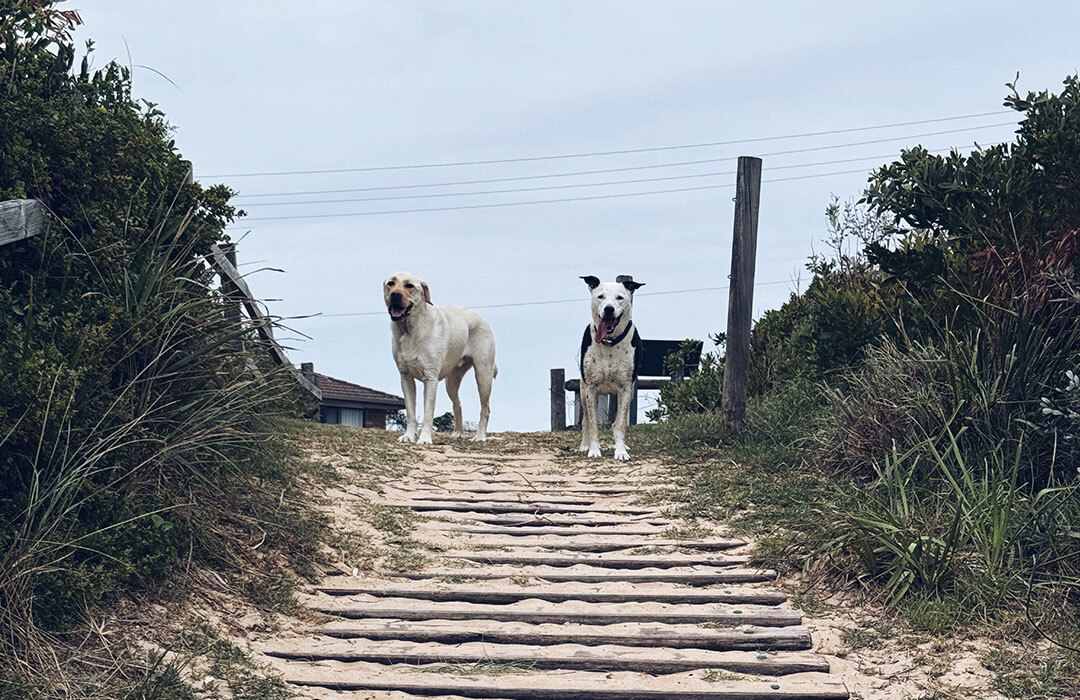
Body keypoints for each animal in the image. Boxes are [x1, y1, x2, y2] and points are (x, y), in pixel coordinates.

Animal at [578, 276, 643, 462]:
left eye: (620, 297)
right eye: (600, 296)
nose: (609, 309)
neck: (609, 342)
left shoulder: (626, 388)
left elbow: (620, 424)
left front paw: (621, 451)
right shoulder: (591, 388)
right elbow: (593, 424)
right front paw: (593, 450)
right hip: (582, 389)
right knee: (585, 420)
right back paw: (584, 445)